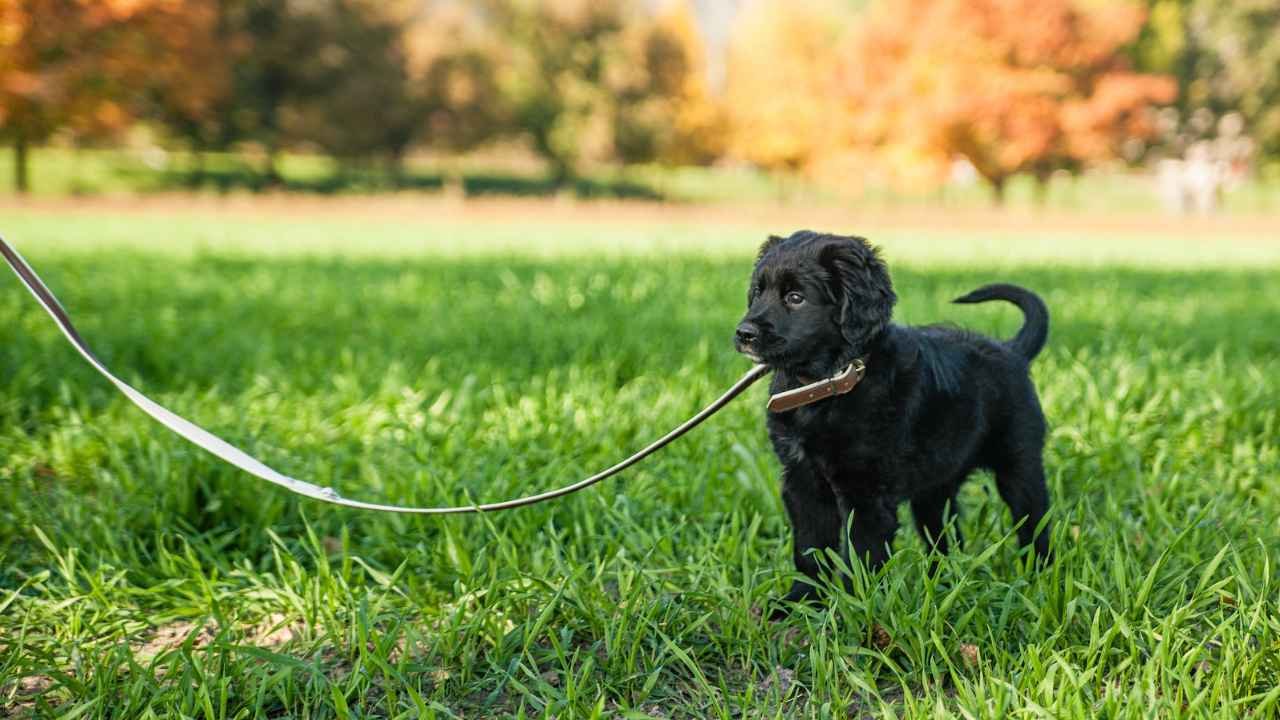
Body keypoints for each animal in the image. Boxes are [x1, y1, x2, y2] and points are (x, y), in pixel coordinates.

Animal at [737, 229, 1054, 609]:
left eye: (796, 298)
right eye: (758, 292)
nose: (744, 334)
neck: (828, 384)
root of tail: (1012, 350)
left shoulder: (867, 493)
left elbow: (860, 557)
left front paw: (853, 609)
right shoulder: (801, 481)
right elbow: (810, 548)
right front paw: (801, 602)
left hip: (1019, 466)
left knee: (1035, 525)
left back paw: (1040, 579)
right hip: (935, 487)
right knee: (945, 538)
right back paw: (942, 584)